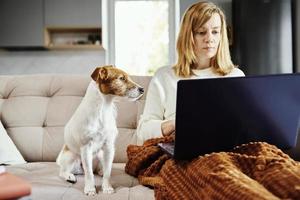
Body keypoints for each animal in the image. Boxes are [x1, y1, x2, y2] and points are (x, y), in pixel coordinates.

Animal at [56, 65, 145, 195]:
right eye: (121, 78)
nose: (142, 89)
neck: (103, 108)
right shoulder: (86, 147)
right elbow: (89, 174)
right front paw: (90, 189)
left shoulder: (109, 147)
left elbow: (108, 172)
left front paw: (107, 187)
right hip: (71, 156)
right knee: (64, 171)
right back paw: (69, 176)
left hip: (101, 155)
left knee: (100, 169)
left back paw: (100, 171)